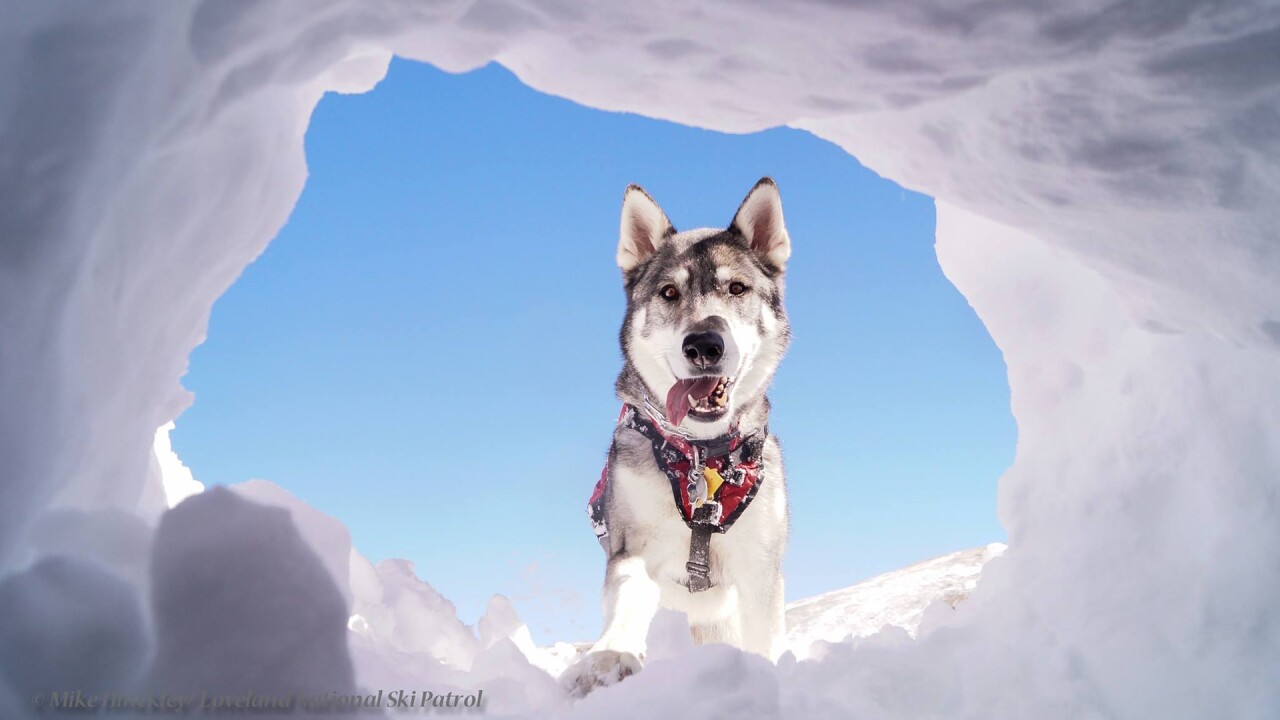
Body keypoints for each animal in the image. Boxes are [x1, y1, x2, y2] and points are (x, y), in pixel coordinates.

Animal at [570, 176, 788, 691]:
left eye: (737, 288)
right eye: (669, 292)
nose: (704, 344)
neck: (702, 456)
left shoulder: (760, 564)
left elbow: (764, 639)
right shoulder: (632, 548)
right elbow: (628, 595)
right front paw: (611, 654)